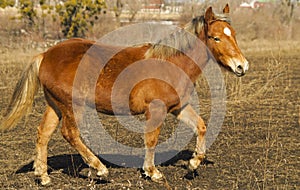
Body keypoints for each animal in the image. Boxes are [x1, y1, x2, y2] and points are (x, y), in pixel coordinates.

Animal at [0, 4, 248, 186]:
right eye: (216, 38)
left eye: (234, 34)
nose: (242, 66)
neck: (171, 63)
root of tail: (45, 54)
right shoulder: (155, 110)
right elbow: (151, 139)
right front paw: (152, 172)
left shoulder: (179, 107)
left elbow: (201, 126)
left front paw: (194, 163)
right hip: (72, 106)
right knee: (70, 134)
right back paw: (100, 169)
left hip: (55, 106)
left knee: (43, 133)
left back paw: (42, 176)